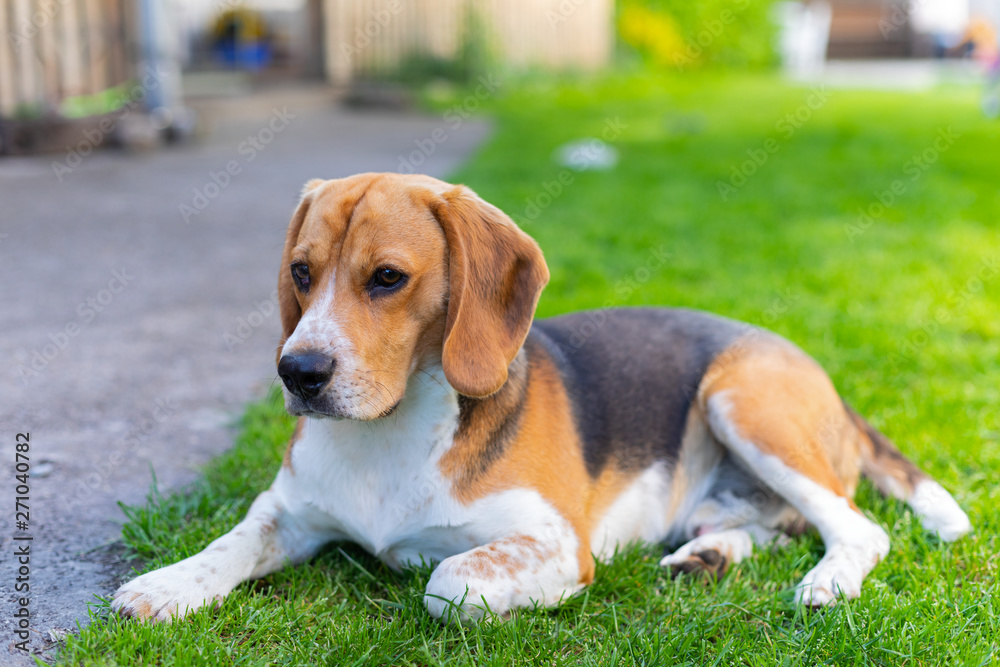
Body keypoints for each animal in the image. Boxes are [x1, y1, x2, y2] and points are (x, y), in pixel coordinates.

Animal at [113, 175, 972, 624]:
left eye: (387, 277)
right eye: (300, 270)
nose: (298, 372)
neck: (390, 433)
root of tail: (816, 371)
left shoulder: (553, 542)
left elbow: (447, 578)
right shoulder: (286, 512)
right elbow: (230, 543)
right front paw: (166, 584)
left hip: (740, 398)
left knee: (855, 527)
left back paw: (828, 580)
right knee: (760, 524)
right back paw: (706, 557)